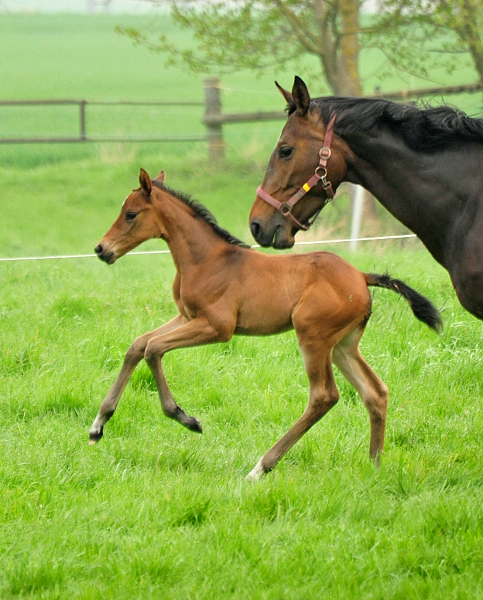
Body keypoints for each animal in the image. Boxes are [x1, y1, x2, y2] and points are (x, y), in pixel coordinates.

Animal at [91, 171, 442, 480]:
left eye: (131, 214)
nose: (101, 249)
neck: (208, 260)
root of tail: (361, 276)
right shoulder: (187, 317)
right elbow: (138, 345)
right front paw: (98, 425)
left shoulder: (217, 327)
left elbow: (153, 349)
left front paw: (186, 418)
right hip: (343, 345)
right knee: (375, 392)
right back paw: (374, 466)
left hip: (313, 336)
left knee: (324, 396)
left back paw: (261, 468)